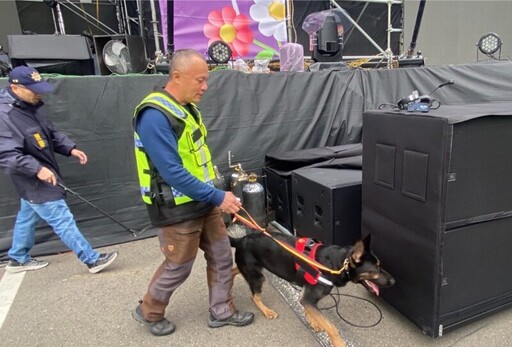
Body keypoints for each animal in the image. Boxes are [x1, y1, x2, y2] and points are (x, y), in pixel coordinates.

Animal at [231, 232, 396, 347]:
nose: (394, 281)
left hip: (250, 269)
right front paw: (338, 343)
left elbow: (309, 310)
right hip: (257, 276)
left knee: (234, 269)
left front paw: (313, 321)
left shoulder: (306, 297)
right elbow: (332, 327)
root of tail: (241, 239)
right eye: (375, 269)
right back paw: (266, 311)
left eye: (379, 265)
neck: (338, 265)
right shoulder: (309, 299)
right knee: (254, 297)